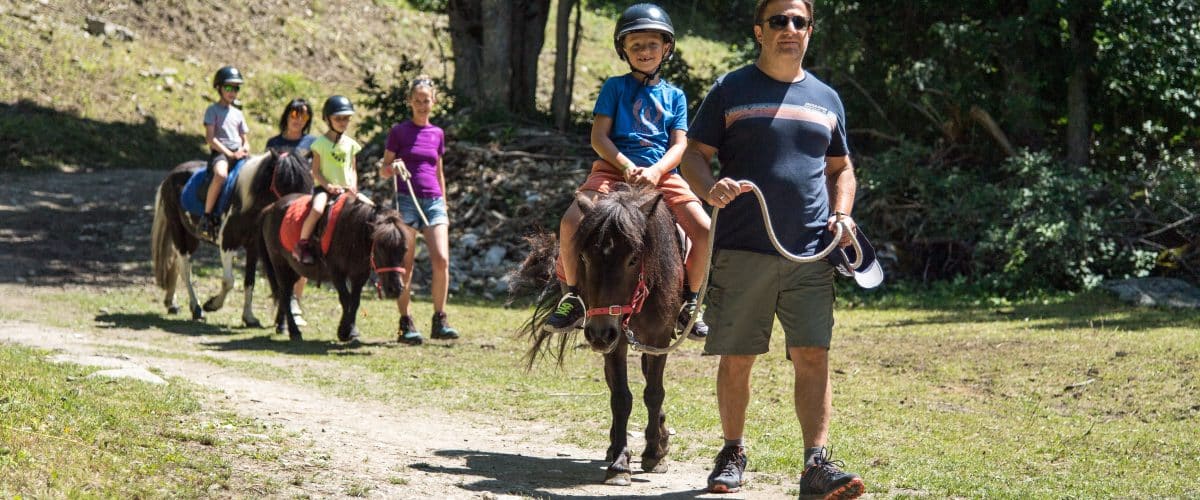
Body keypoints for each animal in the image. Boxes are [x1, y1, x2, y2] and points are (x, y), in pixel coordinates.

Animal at [150, 149, 312, 323]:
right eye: (284, 180)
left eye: (308, 182)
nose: (298, 213)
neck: (246, 202)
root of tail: (170, 175)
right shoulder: (228, 242)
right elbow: (229, 281)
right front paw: (212, 305)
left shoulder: (253, 247)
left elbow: (250, 282)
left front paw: (249, 317)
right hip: (178, 230)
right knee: (185, 269)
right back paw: (196, 308)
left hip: (191, 236)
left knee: (176, 264)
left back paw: (171, 303)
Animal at [260, 193, 410, 340]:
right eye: (380, 247)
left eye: (405, 249)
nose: (395, 289)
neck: (351, 233)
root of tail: (271, 207)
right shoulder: (337, 273)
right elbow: (346, 299)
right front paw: (345, 331)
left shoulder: (360, 275)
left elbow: (355, 301)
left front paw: (351, 330)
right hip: (280, 264)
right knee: (285, 294)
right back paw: (294, 331)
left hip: (294, 269)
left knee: (284, 293)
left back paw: (282, 326)